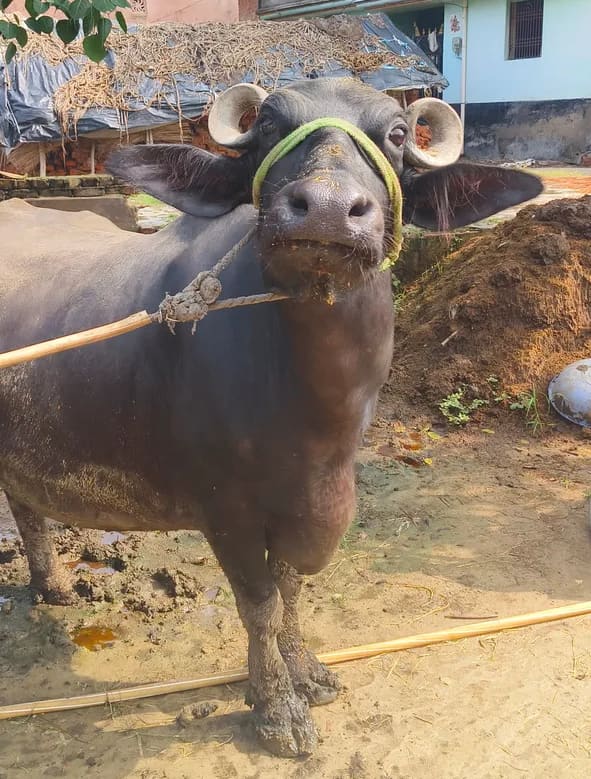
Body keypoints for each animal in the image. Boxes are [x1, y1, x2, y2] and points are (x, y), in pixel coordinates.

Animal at [0, 77, 542, 756]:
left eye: (396, 134)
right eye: (267, 128)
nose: (328, 209)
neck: (313, 414)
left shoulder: (305, 502)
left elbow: (290, 590)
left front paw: (305, 670)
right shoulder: (224, 508)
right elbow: (259, 604)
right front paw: (275, 705)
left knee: (25, 505)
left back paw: (53, 585)